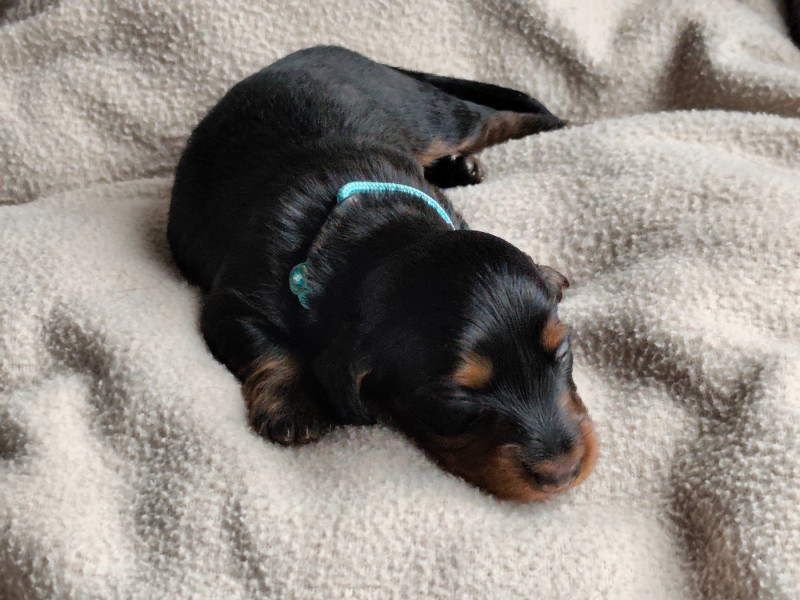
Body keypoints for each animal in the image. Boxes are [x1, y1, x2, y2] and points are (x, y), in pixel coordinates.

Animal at [167, 46, 597, 501]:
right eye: (458, 396)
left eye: (562, 351)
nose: (563, 472)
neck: (379, 227)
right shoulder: (234, 303)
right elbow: (266, 345)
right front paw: (294, 404)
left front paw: (546, 271)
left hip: (428, 117)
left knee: (491, 119)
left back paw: (546, 129)